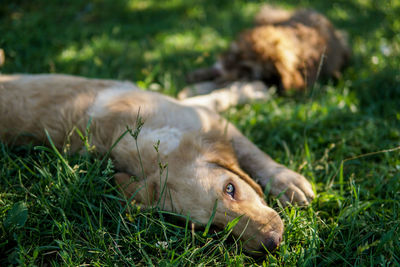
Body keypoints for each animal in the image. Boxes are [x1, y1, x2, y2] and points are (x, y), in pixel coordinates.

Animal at [0, 75, 314, 253]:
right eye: (214, 229)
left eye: (231, 188)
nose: (273, 243)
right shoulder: (202, 115)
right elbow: (221, 102)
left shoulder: (203, 117)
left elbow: (251, 152)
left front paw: (287, 182)